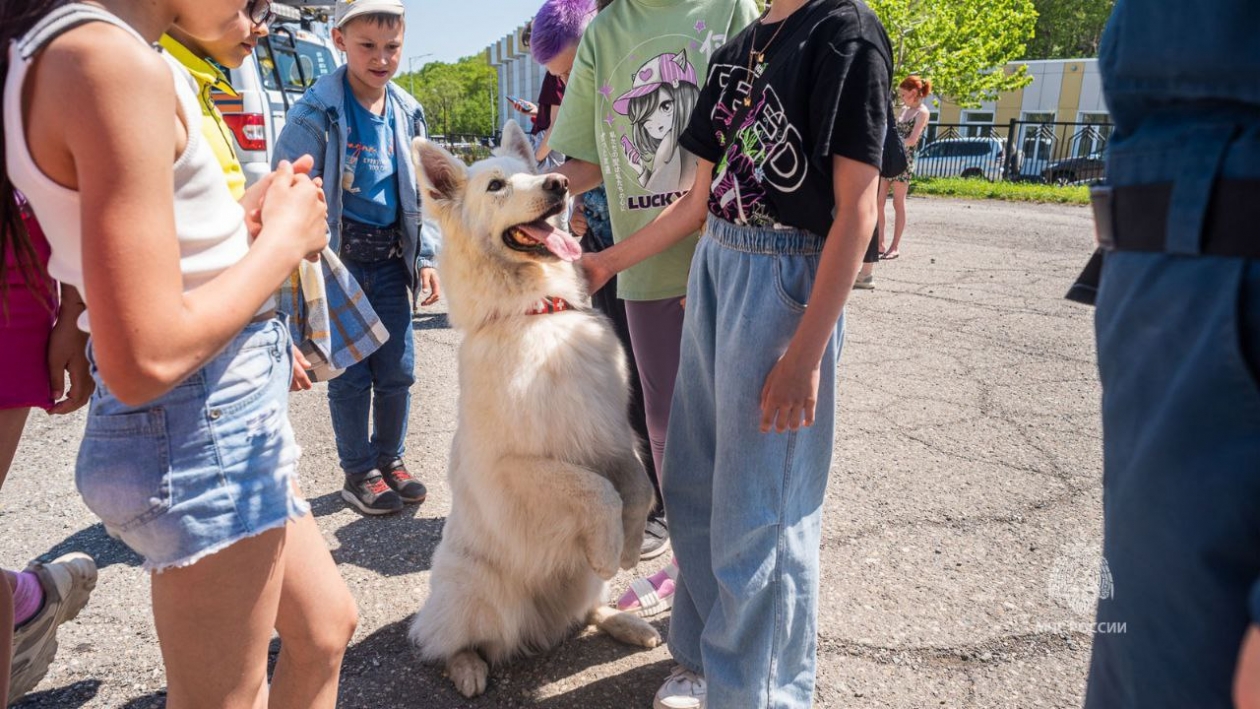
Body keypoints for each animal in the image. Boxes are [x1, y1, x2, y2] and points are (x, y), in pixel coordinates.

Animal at [408, 122, 660, 700]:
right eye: (496, 185)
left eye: (529, 172)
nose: (560, 182)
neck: (539, 313)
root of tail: (540, 627)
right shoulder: (516, 467)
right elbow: (597, 490)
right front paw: (611, 547)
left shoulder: (609, 437)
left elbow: (637, 485)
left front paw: (629, 548)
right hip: (476, 592)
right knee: (443, 642)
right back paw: (468, 668)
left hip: (578, 589)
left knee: (586, 612)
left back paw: (626, 621)